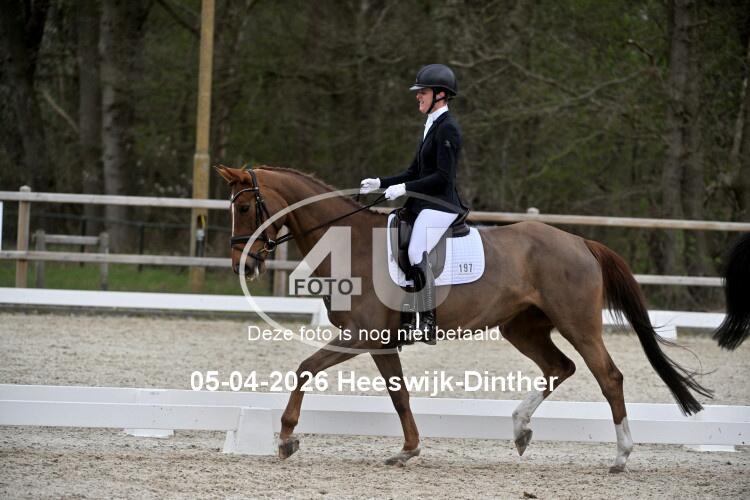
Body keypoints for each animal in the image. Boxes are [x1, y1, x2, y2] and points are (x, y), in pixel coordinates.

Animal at [216, 164, 714, 473]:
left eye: (245, 207)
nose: (244, 265)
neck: (349, 242)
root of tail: (579, 242)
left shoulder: (361, 335)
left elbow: (304, 369)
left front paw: (285, 438)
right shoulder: (380, 341)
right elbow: (400, 397)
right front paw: (408, 451)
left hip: (578, 324)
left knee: (608, 376)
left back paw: (621, 456)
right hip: (521, 327)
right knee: (560, 367)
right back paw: (520, 429)